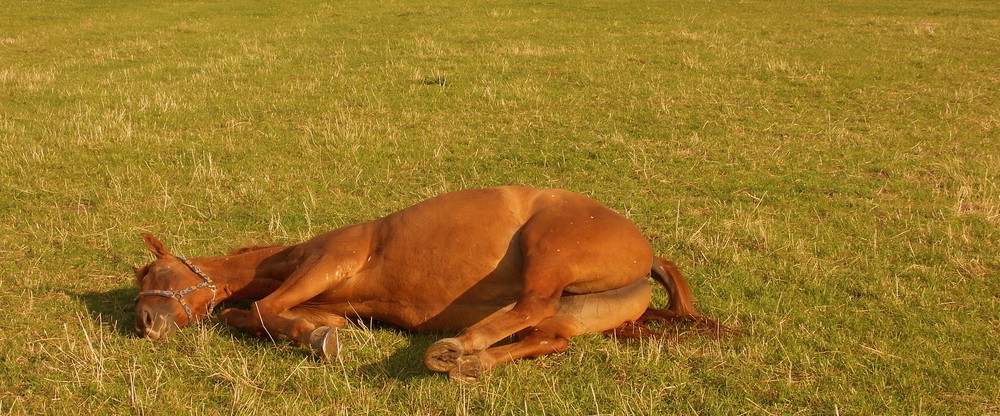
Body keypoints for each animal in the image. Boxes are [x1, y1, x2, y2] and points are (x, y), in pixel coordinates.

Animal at [133, 187, 716, 382]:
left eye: (155, 273)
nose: (144, 323)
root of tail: (648, 255)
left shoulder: (330, 260)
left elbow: (257, 311)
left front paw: (315, 340)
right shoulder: (328, 300)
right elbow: (262, 315)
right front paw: (315, 334)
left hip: (546, 248)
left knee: (531, 303)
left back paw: (455, 348)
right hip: (574, 312)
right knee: (548, 337)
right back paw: (471, 361)